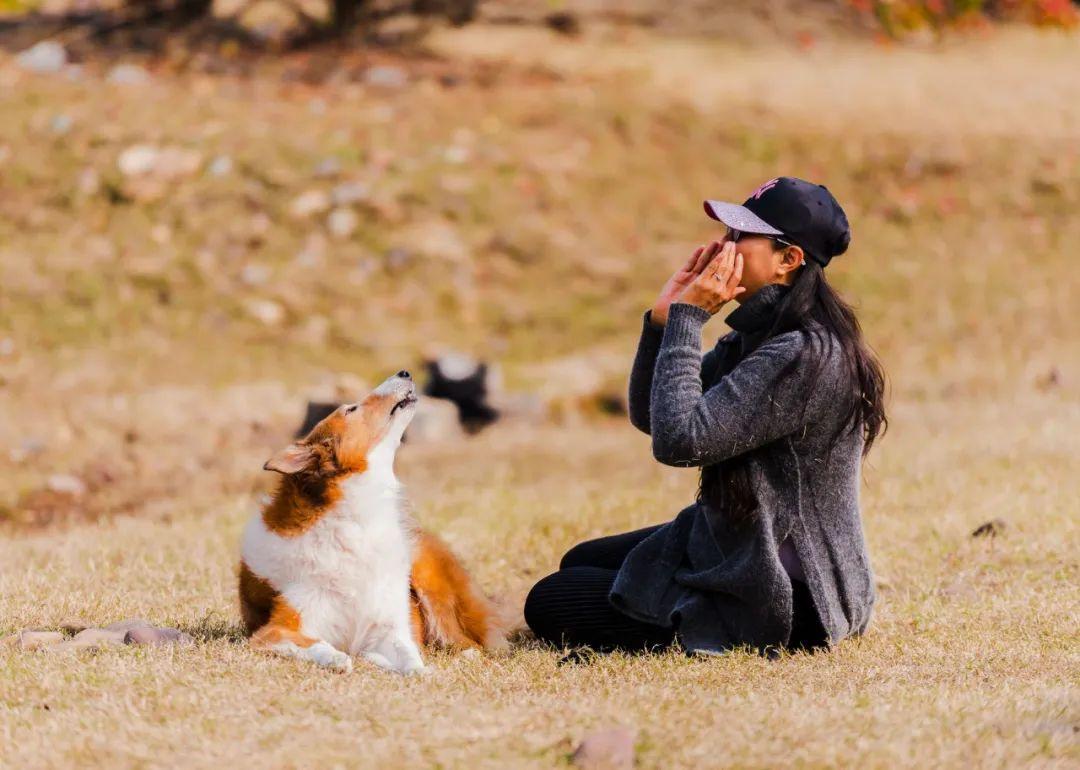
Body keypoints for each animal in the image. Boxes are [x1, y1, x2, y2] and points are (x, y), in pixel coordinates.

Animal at [238, 371, 507, 673]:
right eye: (351, 409)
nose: (404, 372)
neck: (357, 523)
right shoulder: (278, 629)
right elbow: (316, 646)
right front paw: (338, 658)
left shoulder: (388, 627)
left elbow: (409, 654)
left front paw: (419, 671)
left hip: (431, 584)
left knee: (464, 640)